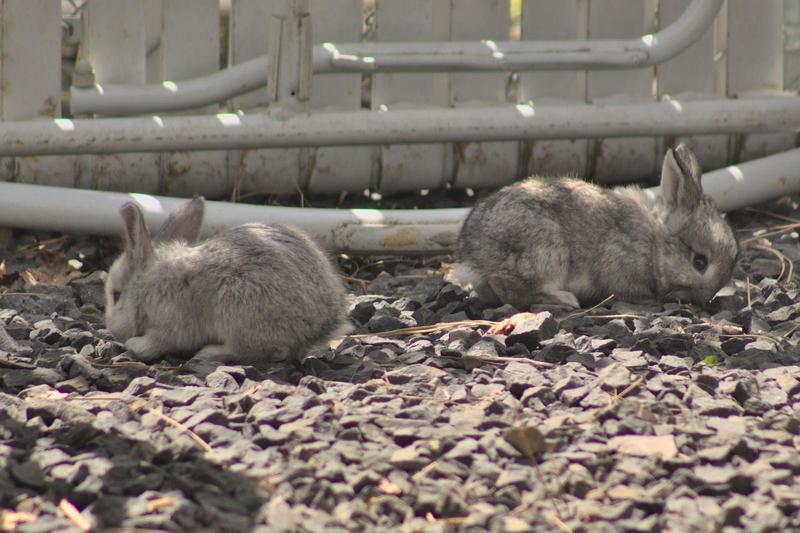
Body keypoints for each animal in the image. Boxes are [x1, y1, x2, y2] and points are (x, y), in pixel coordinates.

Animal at [104, 197, 346, 364]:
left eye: (116, 295)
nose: (113, 330)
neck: (146, 286)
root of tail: (315, 328)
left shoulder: (170, 325)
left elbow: (158, 342)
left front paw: (135, 345)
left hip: (238, 311)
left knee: (268, 351)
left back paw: (209, 352)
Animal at [454, 144, 740, 308]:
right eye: (700, 262)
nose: (703, 300)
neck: (654, 244)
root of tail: (472, 255)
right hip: (545, 253)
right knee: (509, 288)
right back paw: (564, 300)